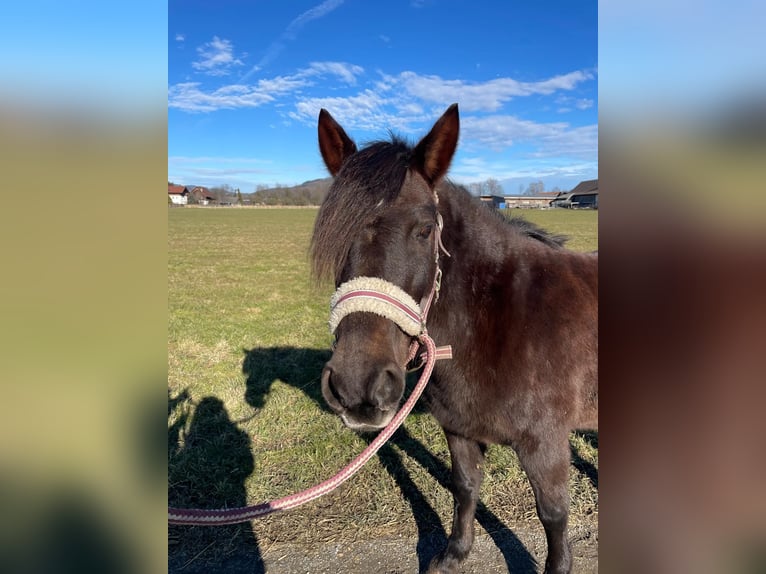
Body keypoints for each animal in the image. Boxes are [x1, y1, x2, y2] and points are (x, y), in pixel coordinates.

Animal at [311, 104, 597, 574]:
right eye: (334, 233)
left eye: (425, 230)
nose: (357, 385)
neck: (498, 326)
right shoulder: (459, 430)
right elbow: (464, 487)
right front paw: (454, 554)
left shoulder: (546, 443)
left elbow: (553, 514)